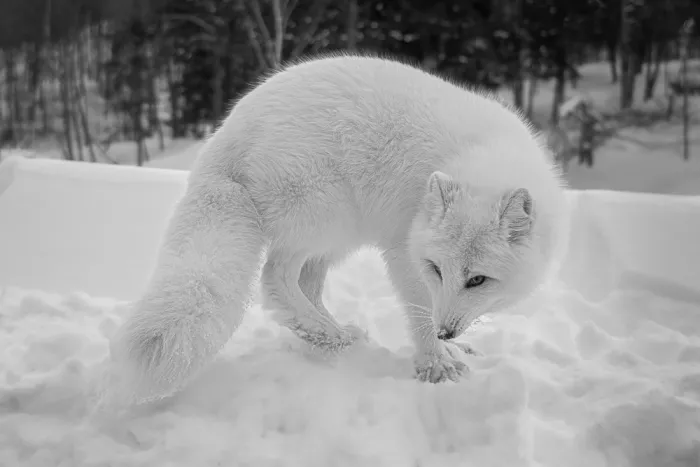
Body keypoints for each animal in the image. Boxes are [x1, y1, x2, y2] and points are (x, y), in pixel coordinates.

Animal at [109, 53, 568, 400]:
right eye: (439, 270)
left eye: (477, 280)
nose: (448, 329)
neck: (482, 159)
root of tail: (226, 135)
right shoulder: (402, 251)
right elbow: (418, 311)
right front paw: (434, 362)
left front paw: (452, 348)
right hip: (329, 218)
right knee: (275, 278)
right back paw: (326, 334)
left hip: (339, 237)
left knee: (306, 285)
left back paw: (330, 334)